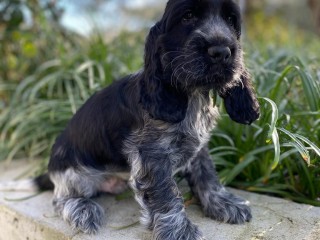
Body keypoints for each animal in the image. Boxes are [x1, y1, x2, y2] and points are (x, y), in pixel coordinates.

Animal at [35, 0, 260, 239]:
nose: (221, 51)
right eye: (188, 17)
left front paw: (223, 203)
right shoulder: (152, 156)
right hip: (76, 176)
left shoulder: (198, 147)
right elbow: (166, 193)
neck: (193, 95)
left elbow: (207, 174)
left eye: (230, 20)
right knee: (60, 199)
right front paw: (179, 230)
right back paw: (83, 210)